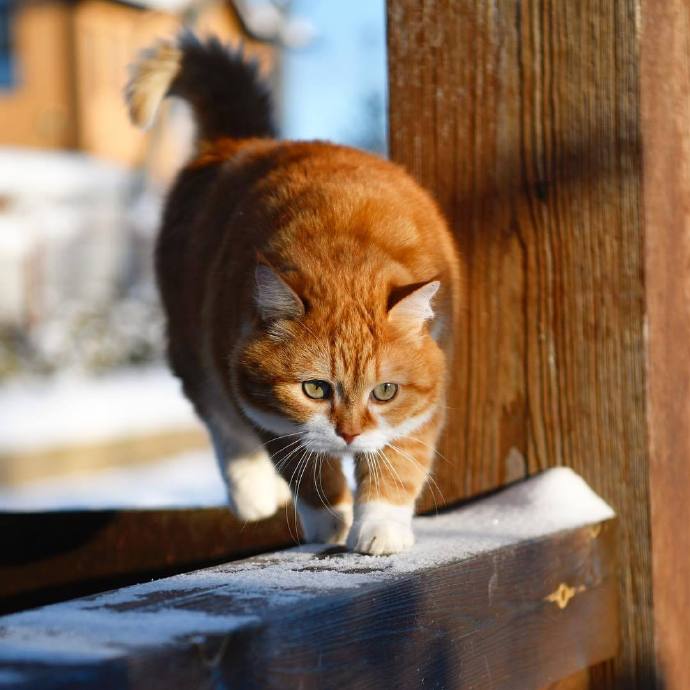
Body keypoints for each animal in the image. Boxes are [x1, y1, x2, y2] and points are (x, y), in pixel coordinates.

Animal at [126, 35, 460, 556]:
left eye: (385, 391)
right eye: (314, 389)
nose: (350, 434)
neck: (347, 254)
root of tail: (241, 142)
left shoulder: (424, 402)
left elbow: (400, 459)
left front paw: (380, 525)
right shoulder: (263, 405)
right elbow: (308, 472)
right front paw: (330, 521)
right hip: (193, 352)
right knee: (221, 421)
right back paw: (253, 494)